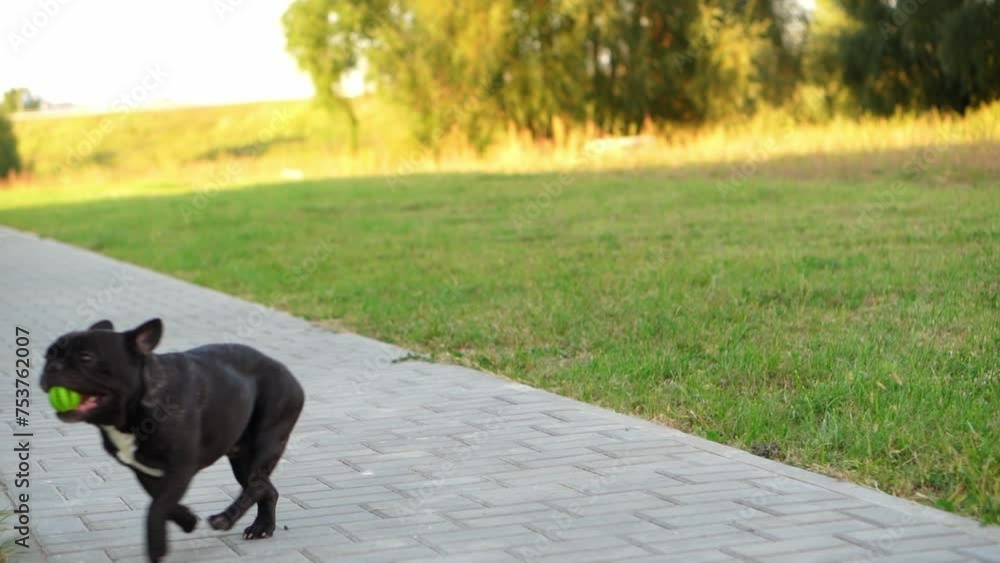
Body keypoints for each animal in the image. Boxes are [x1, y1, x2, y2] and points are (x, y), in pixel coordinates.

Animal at [40, 318, 305, 562]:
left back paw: (225, 519)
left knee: (256, 485)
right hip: (241, 459)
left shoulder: (181, 468)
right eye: (48, 354)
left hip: (265, 441)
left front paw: (156, 547)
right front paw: (187, 520)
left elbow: (157, 508)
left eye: (86, 357)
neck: (138, 404)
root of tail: (290, 376)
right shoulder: (143, 470)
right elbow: (160, 500)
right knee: (266, 489)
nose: (52, 366)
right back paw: (262, 527)